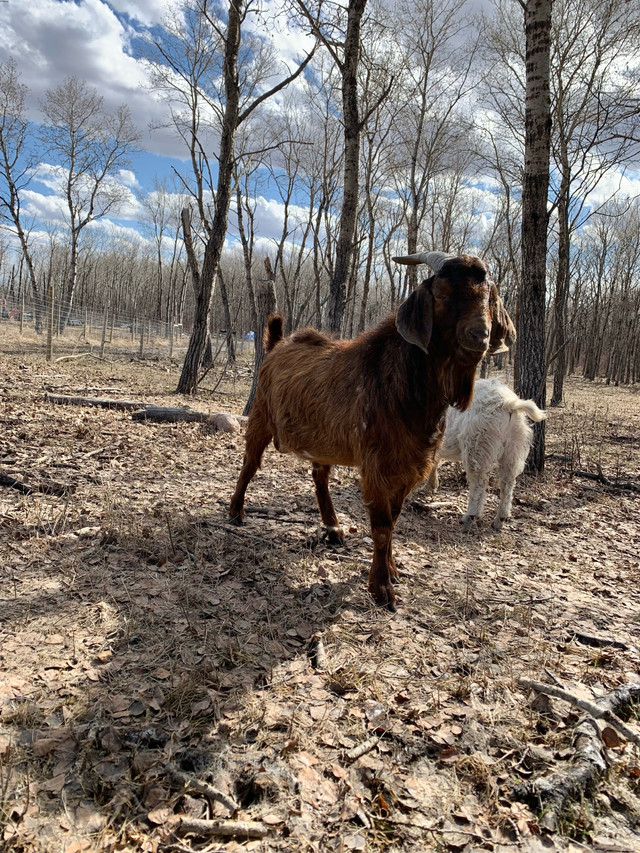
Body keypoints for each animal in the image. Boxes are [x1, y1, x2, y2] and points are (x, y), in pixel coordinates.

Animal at [230, 250, 516, 608]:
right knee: (249, 464)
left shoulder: (413, 465)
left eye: (489, 296)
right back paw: (236, 512)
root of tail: (276, 345)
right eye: (441, 294)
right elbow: (381, 526)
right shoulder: (377, 464)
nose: (479, 335)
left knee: (319, 475)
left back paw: (333, 527)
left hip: (324, 440)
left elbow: (394, 519)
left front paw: (392, 571)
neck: (405, 385)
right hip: (261, 417)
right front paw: (381, 588)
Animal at [428, 378, 548, 528]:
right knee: (507, 483)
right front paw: (431, 486)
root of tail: (508, 403)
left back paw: (470, 516)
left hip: (477, 446)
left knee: (479, 483)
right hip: (513, 450)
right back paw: (500, 520)